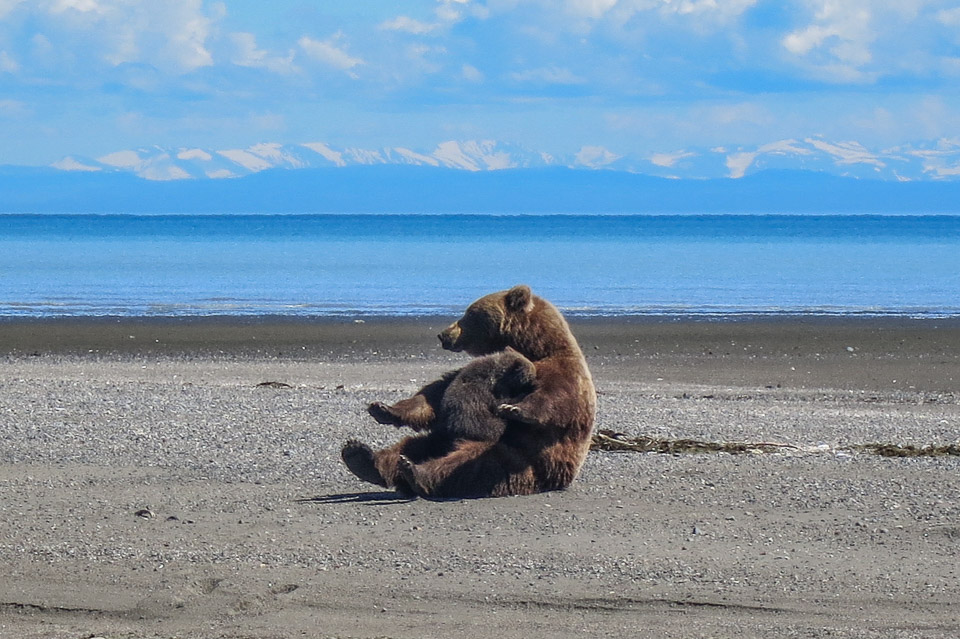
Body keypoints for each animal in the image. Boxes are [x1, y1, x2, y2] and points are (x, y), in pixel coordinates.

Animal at [342, 284, 596, 500]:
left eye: (469, 314)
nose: (444, 334)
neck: (533, 347)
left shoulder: (566, 372)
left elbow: (556, 398)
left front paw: (514, 408)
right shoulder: (471, 371)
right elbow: (435, 396)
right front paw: (383, 409)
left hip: (520, 462)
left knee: (470, 464)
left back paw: (415, 473)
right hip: (444, 439)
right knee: (412, 446)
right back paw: (362, 457)